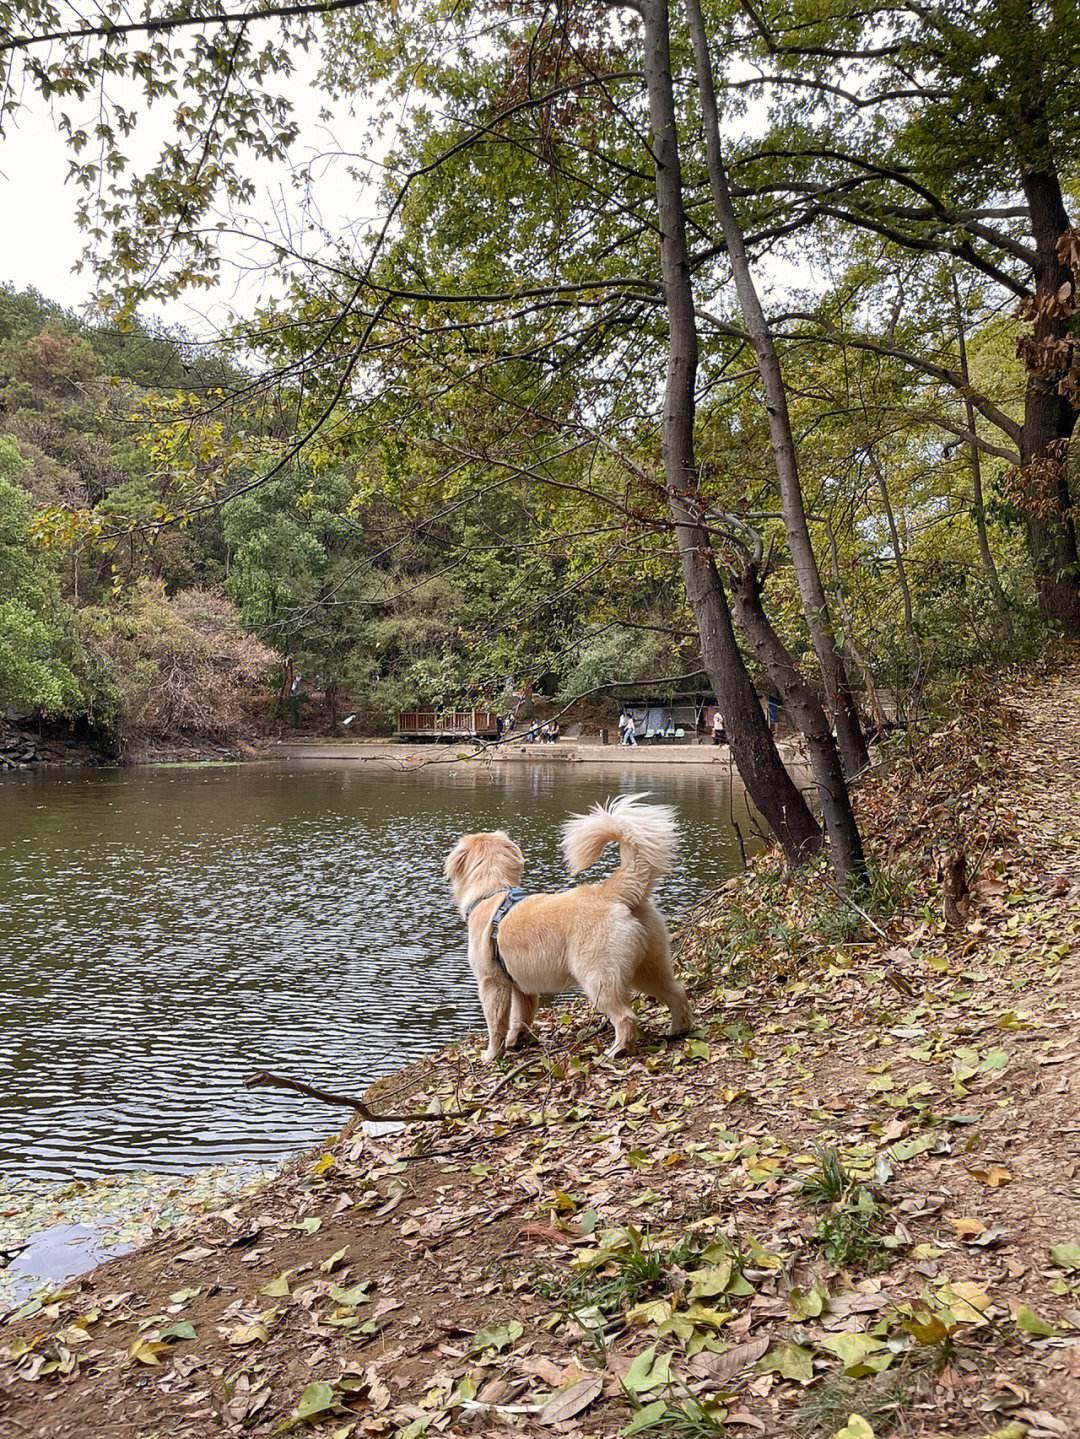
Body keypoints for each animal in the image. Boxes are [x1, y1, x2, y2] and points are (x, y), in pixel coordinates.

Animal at [445, 794, 693, 1064]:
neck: (492, 892)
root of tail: (610, 892)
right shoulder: (522, 987)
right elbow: (521, 1018)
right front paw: (516, 1041)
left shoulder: (492, 983)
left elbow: (496, 1024)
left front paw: (491, 1054)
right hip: (649, 967)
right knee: (677, 992)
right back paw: (678, 1029)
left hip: (598, 977)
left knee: (625, 1017)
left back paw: (617, 1050)